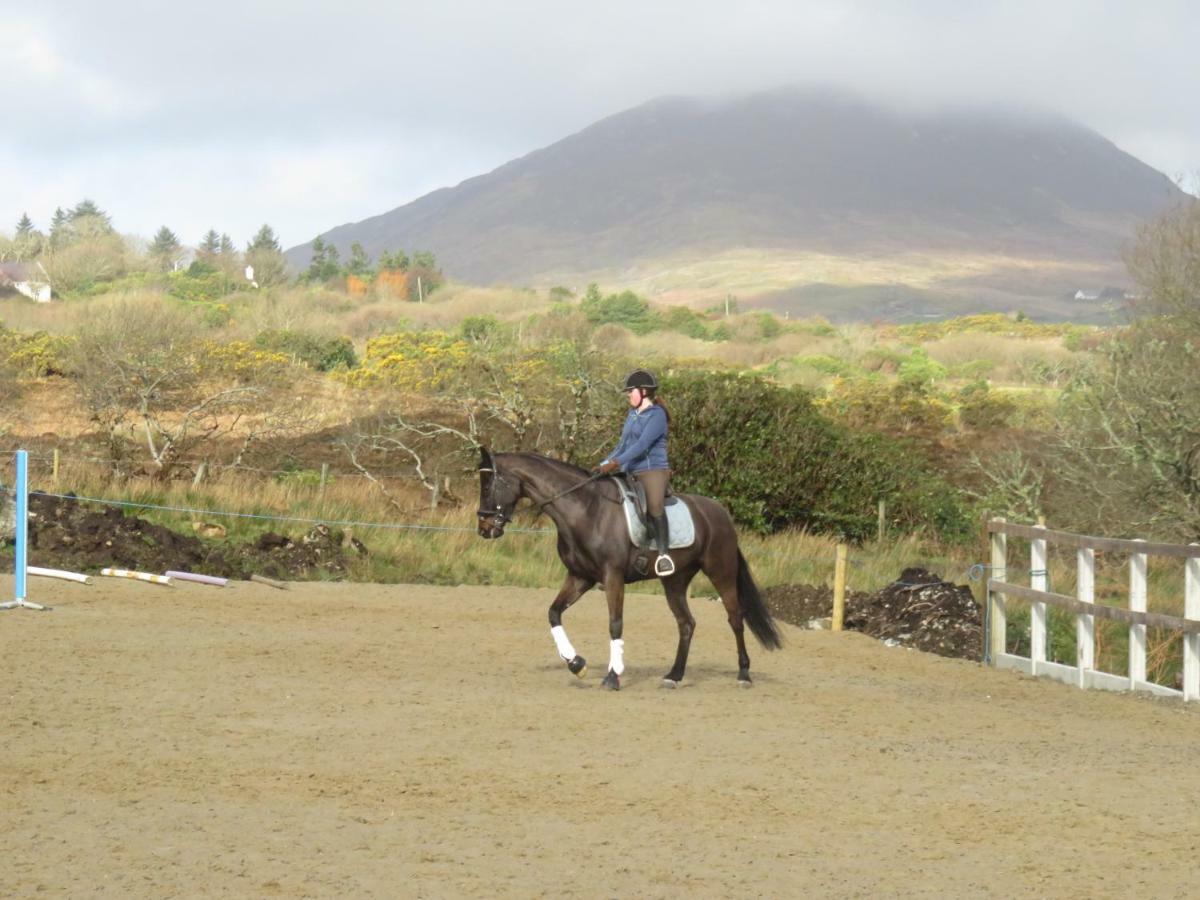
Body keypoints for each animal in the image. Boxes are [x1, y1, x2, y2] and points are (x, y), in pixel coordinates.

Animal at [472, 448, 782, 691]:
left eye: (487, 486)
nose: (484, 529)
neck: (585, 510)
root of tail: (720, 512)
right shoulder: (580, 577)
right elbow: (553, 613)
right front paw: (577, 664)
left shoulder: (613, 577)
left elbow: (615, 624)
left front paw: (612, 676)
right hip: (675, 581)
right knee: (686, 624)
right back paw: (674, 676)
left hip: (721, 572)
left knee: (735, 618)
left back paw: (743, 674)